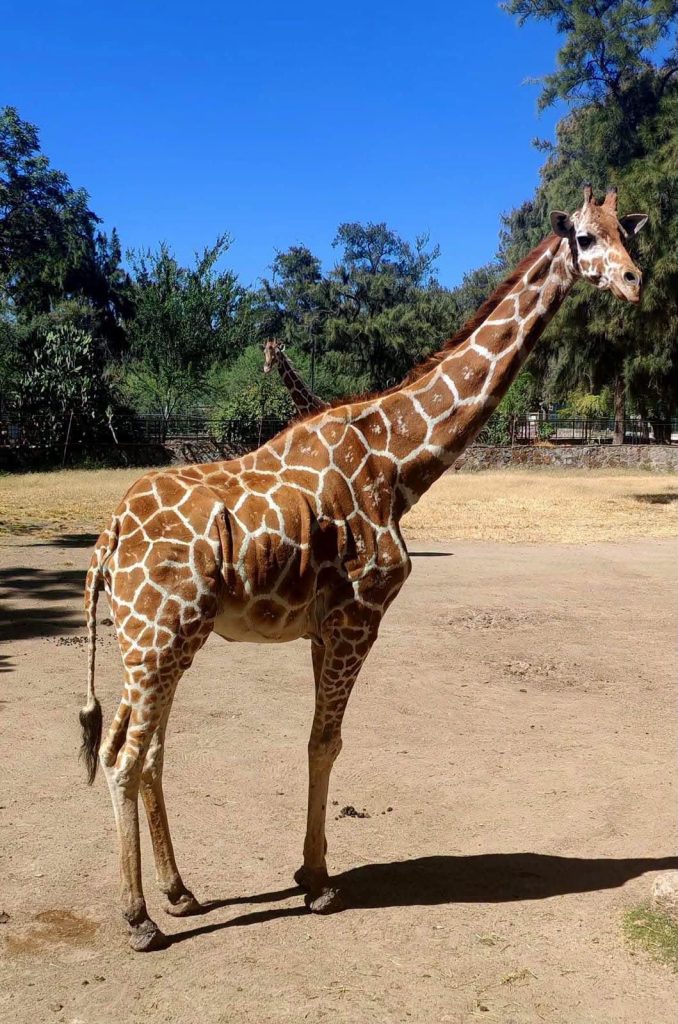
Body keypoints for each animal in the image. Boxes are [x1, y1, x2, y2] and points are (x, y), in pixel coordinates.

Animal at [80, 187, 648, 951]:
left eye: (626, 233)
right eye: (585, 238)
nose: (634, 282)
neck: (400, 460)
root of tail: (109, 536)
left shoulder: (325, 625)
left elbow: (319, 741)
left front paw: (307, 871)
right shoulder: (359, 615)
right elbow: (326, 742)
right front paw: (317, 881)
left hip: (158, 640)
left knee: (146, 750)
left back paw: (180, 892)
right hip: (158, 633)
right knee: (123, 755)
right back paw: (139, 918)